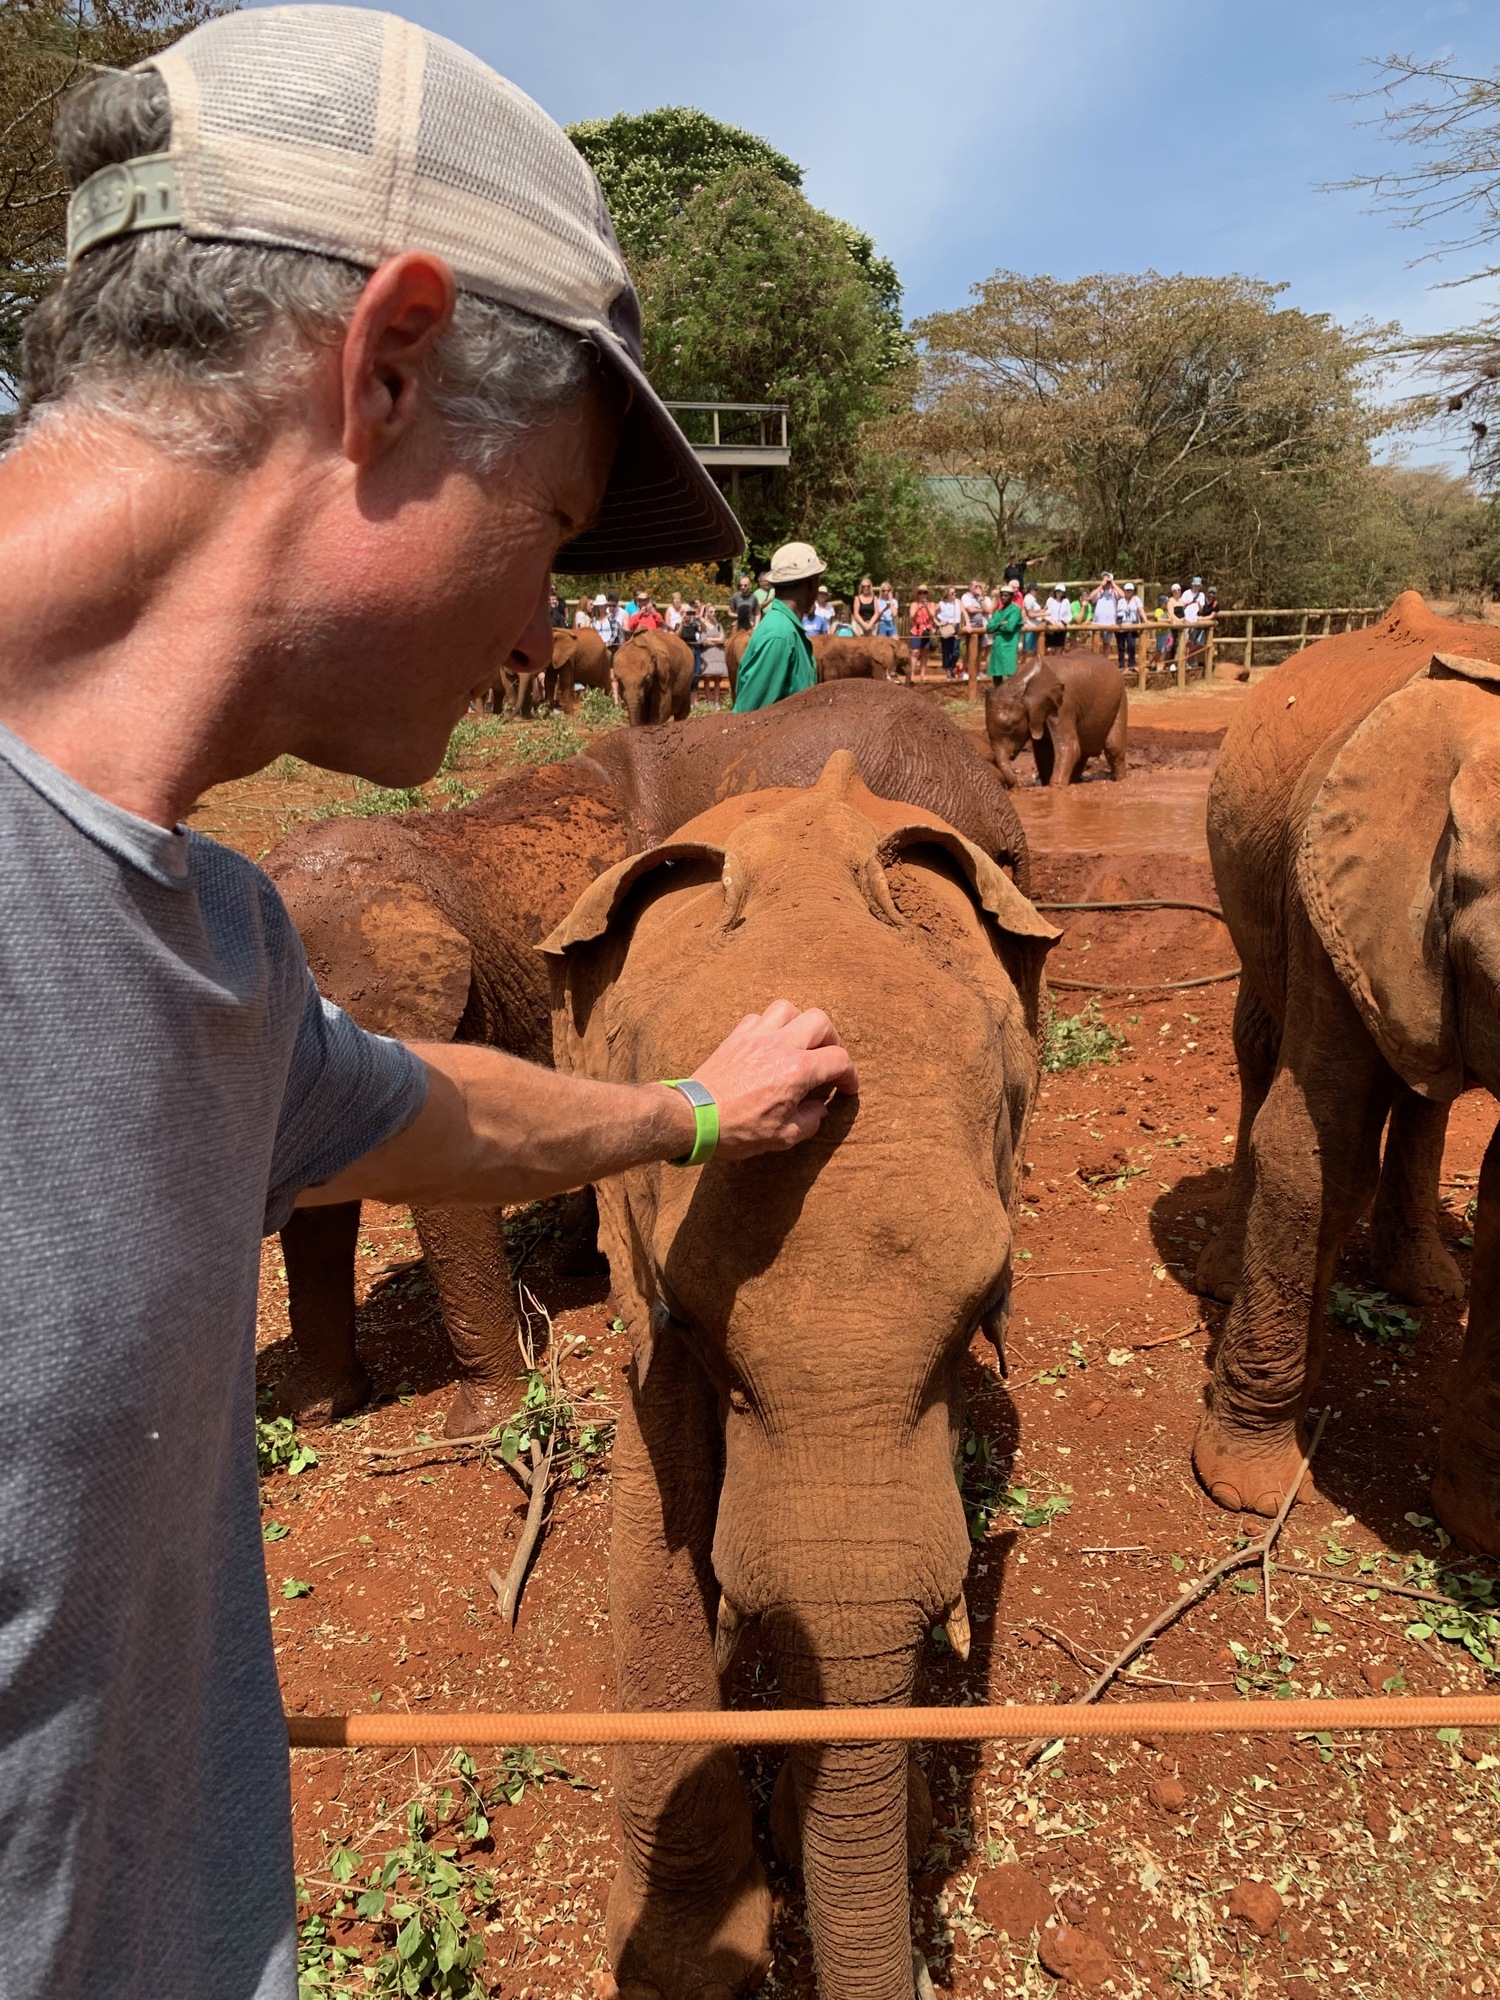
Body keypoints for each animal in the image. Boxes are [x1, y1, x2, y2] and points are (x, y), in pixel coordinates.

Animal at [988, 652, 1128, 784]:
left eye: (1010, 727)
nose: (1017, 782)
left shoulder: (1063, 705)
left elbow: (1070, 747)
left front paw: (1056, 786)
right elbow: (1043, 750)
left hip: (1121, 697)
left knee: (1113, 748)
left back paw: (1121, 781)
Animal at [1200, 584, 1500, 1552]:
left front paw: (1478, 1527)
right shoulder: (1327, 893)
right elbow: (1316, 1146)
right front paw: (1248, 1494)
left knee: (1424, 1098)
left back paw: (1425, 1284)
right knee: (1260, 1052)